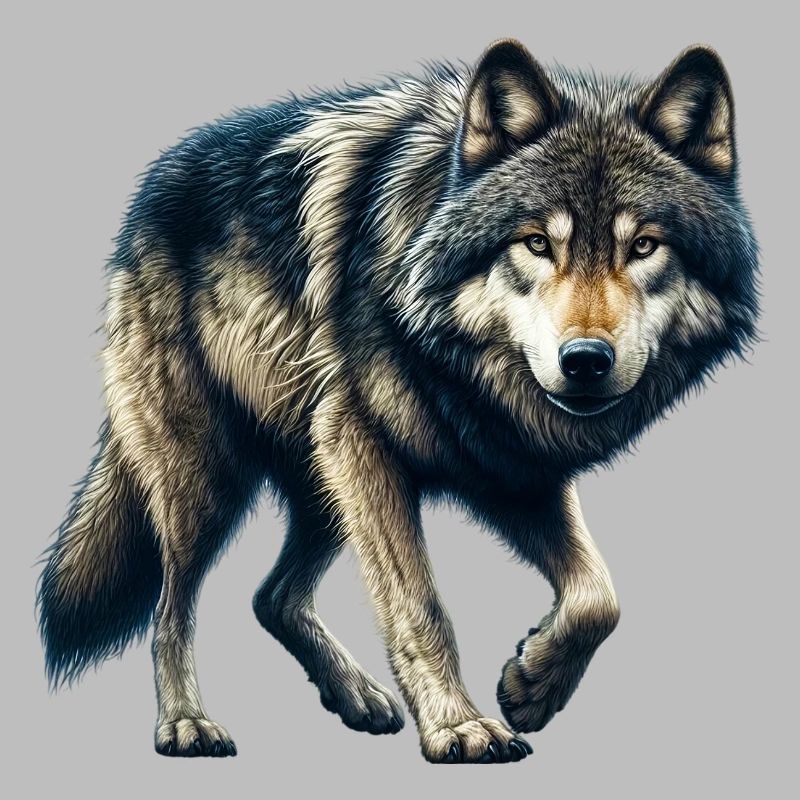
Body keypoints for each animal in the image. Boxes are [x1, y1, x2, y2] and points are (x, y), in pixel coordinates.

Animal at [37, 39, 759, 763]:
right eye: (536, 243)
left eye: (643, 246)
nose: (585, 361)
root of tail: (151, 184)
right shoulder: (367, 444)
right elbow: (419, 605)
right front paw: (459, 727)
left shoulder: (511, 469)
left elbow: (599, 597)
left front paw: (533, 686)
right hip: (214, 480)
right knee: (170, 608)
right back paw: (186, 723)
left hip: (323, 482)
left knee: (272, 597)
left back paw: (354, 695)